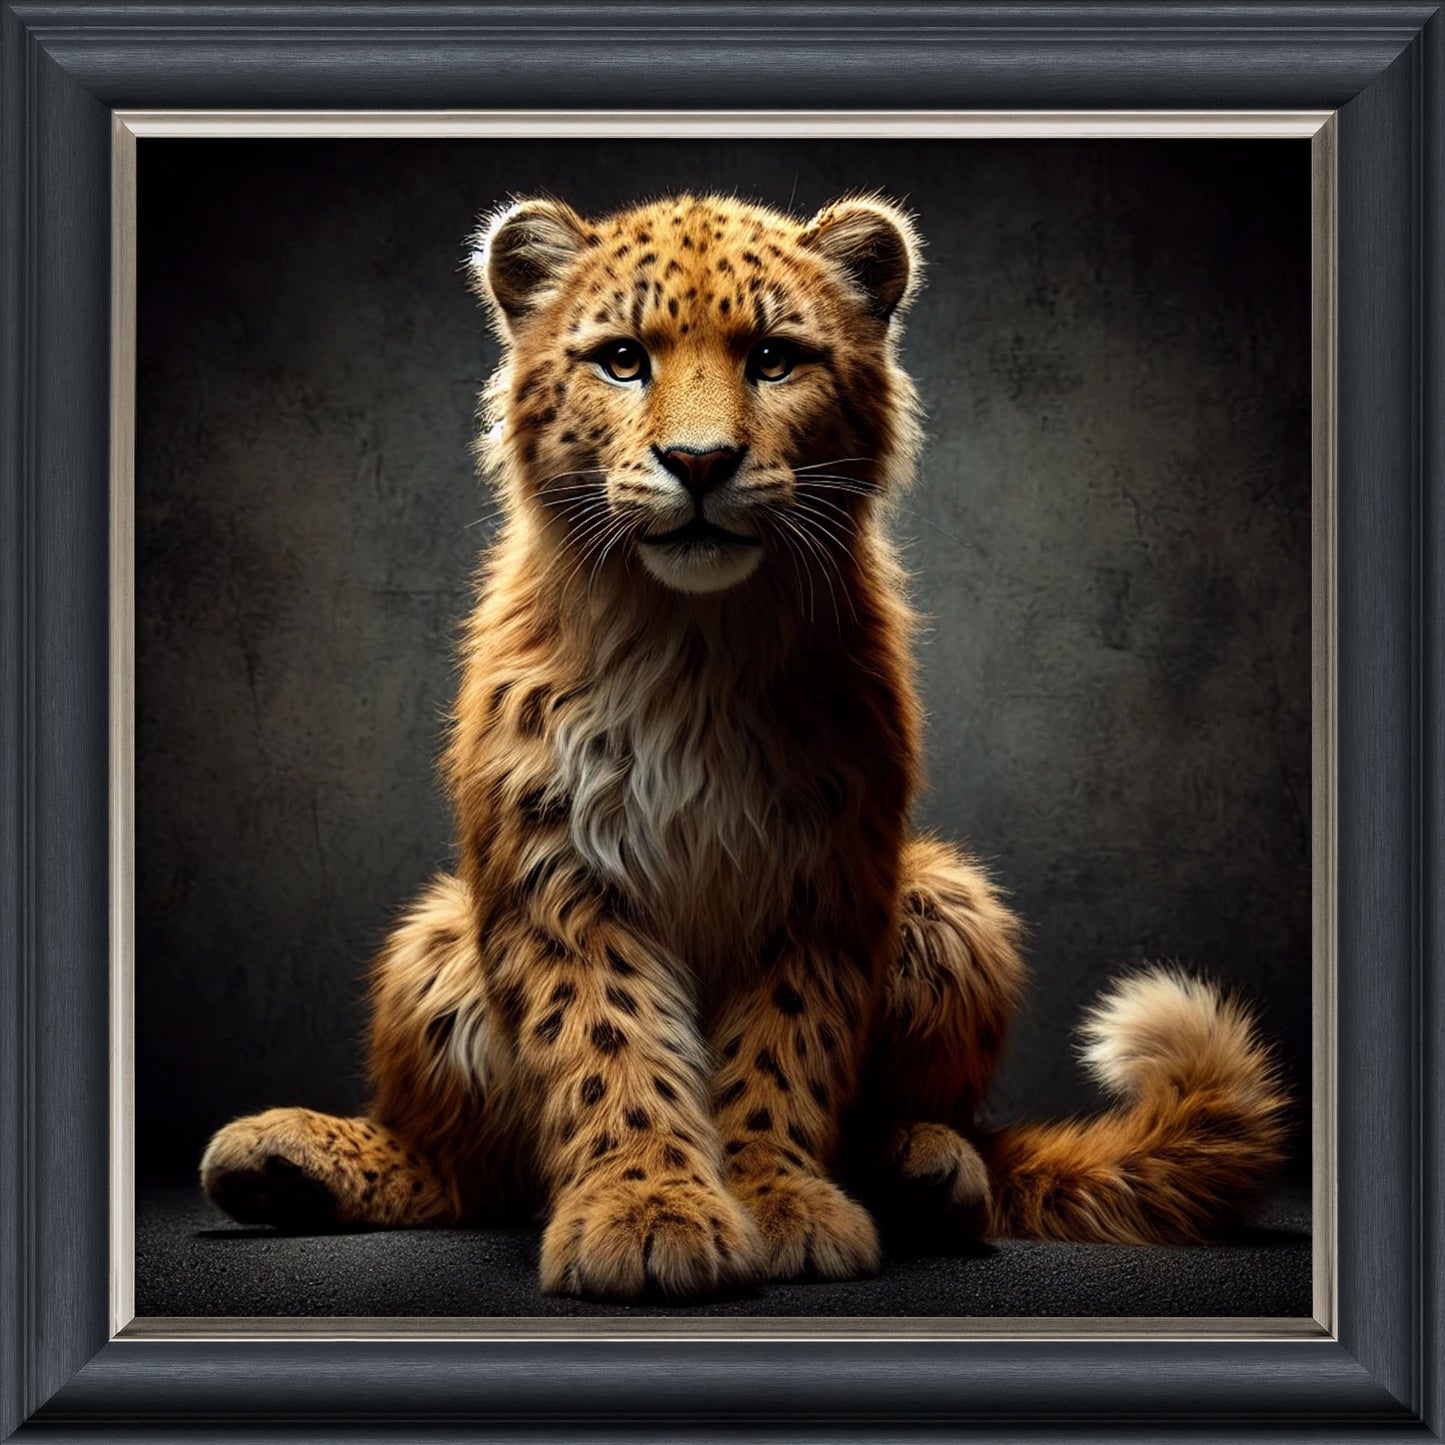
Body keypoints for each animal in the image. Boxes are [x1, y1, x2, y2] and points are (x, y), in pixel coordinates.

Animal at [200, 192, 1288, 1300]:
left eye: (772, 358)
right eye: (623, 359)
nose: (698, 462)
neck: (693, 641)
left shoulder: (823, 868)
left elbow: (784, 1046)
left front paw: (777, 1204)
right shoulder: (556, 865)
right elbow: (606, 1040)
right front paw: (645, 1213)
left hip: (948, 899)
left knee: (969, 1140)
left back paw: (924, 1169)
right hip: (434, 937)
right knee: (465, 1167)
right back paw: (281, 1160)